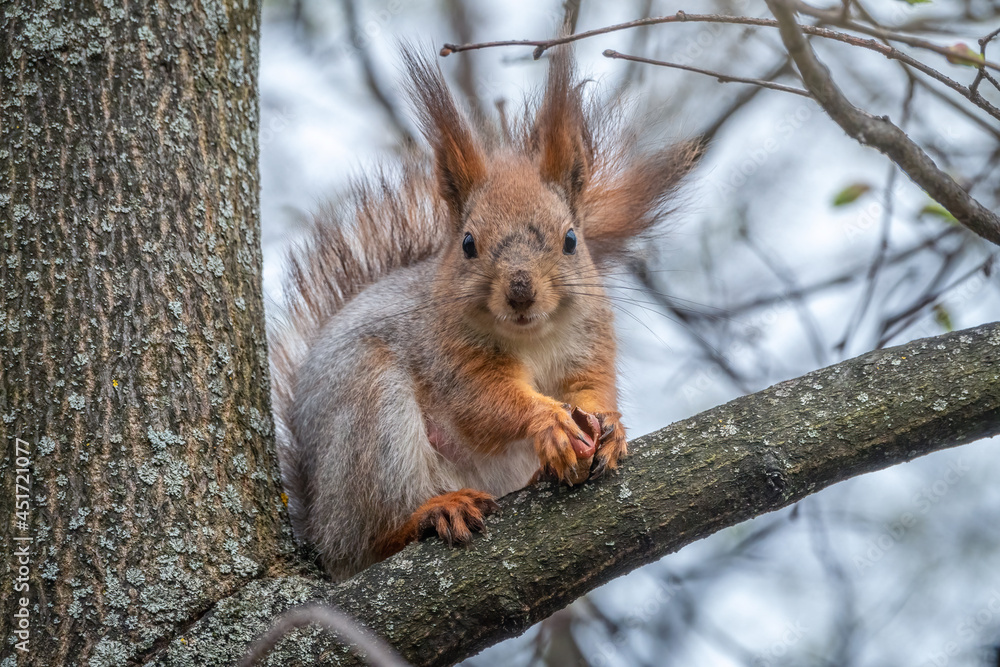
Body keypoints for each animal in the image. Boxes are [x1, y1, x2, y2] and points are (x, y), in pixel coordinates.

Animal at [269, 47, 699, 580]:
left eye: (571, 240)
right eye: (468, 243)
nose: (520, 291)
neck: (533, 339)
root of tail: (322, 532)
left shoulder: (591, 340)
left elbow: (590, 384)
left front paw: (609, 426)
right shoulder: (450, 355)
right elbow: (484, 403)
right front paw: (546, 420)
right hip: (368, 417)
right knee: (373, 539)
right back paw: (433, 511)